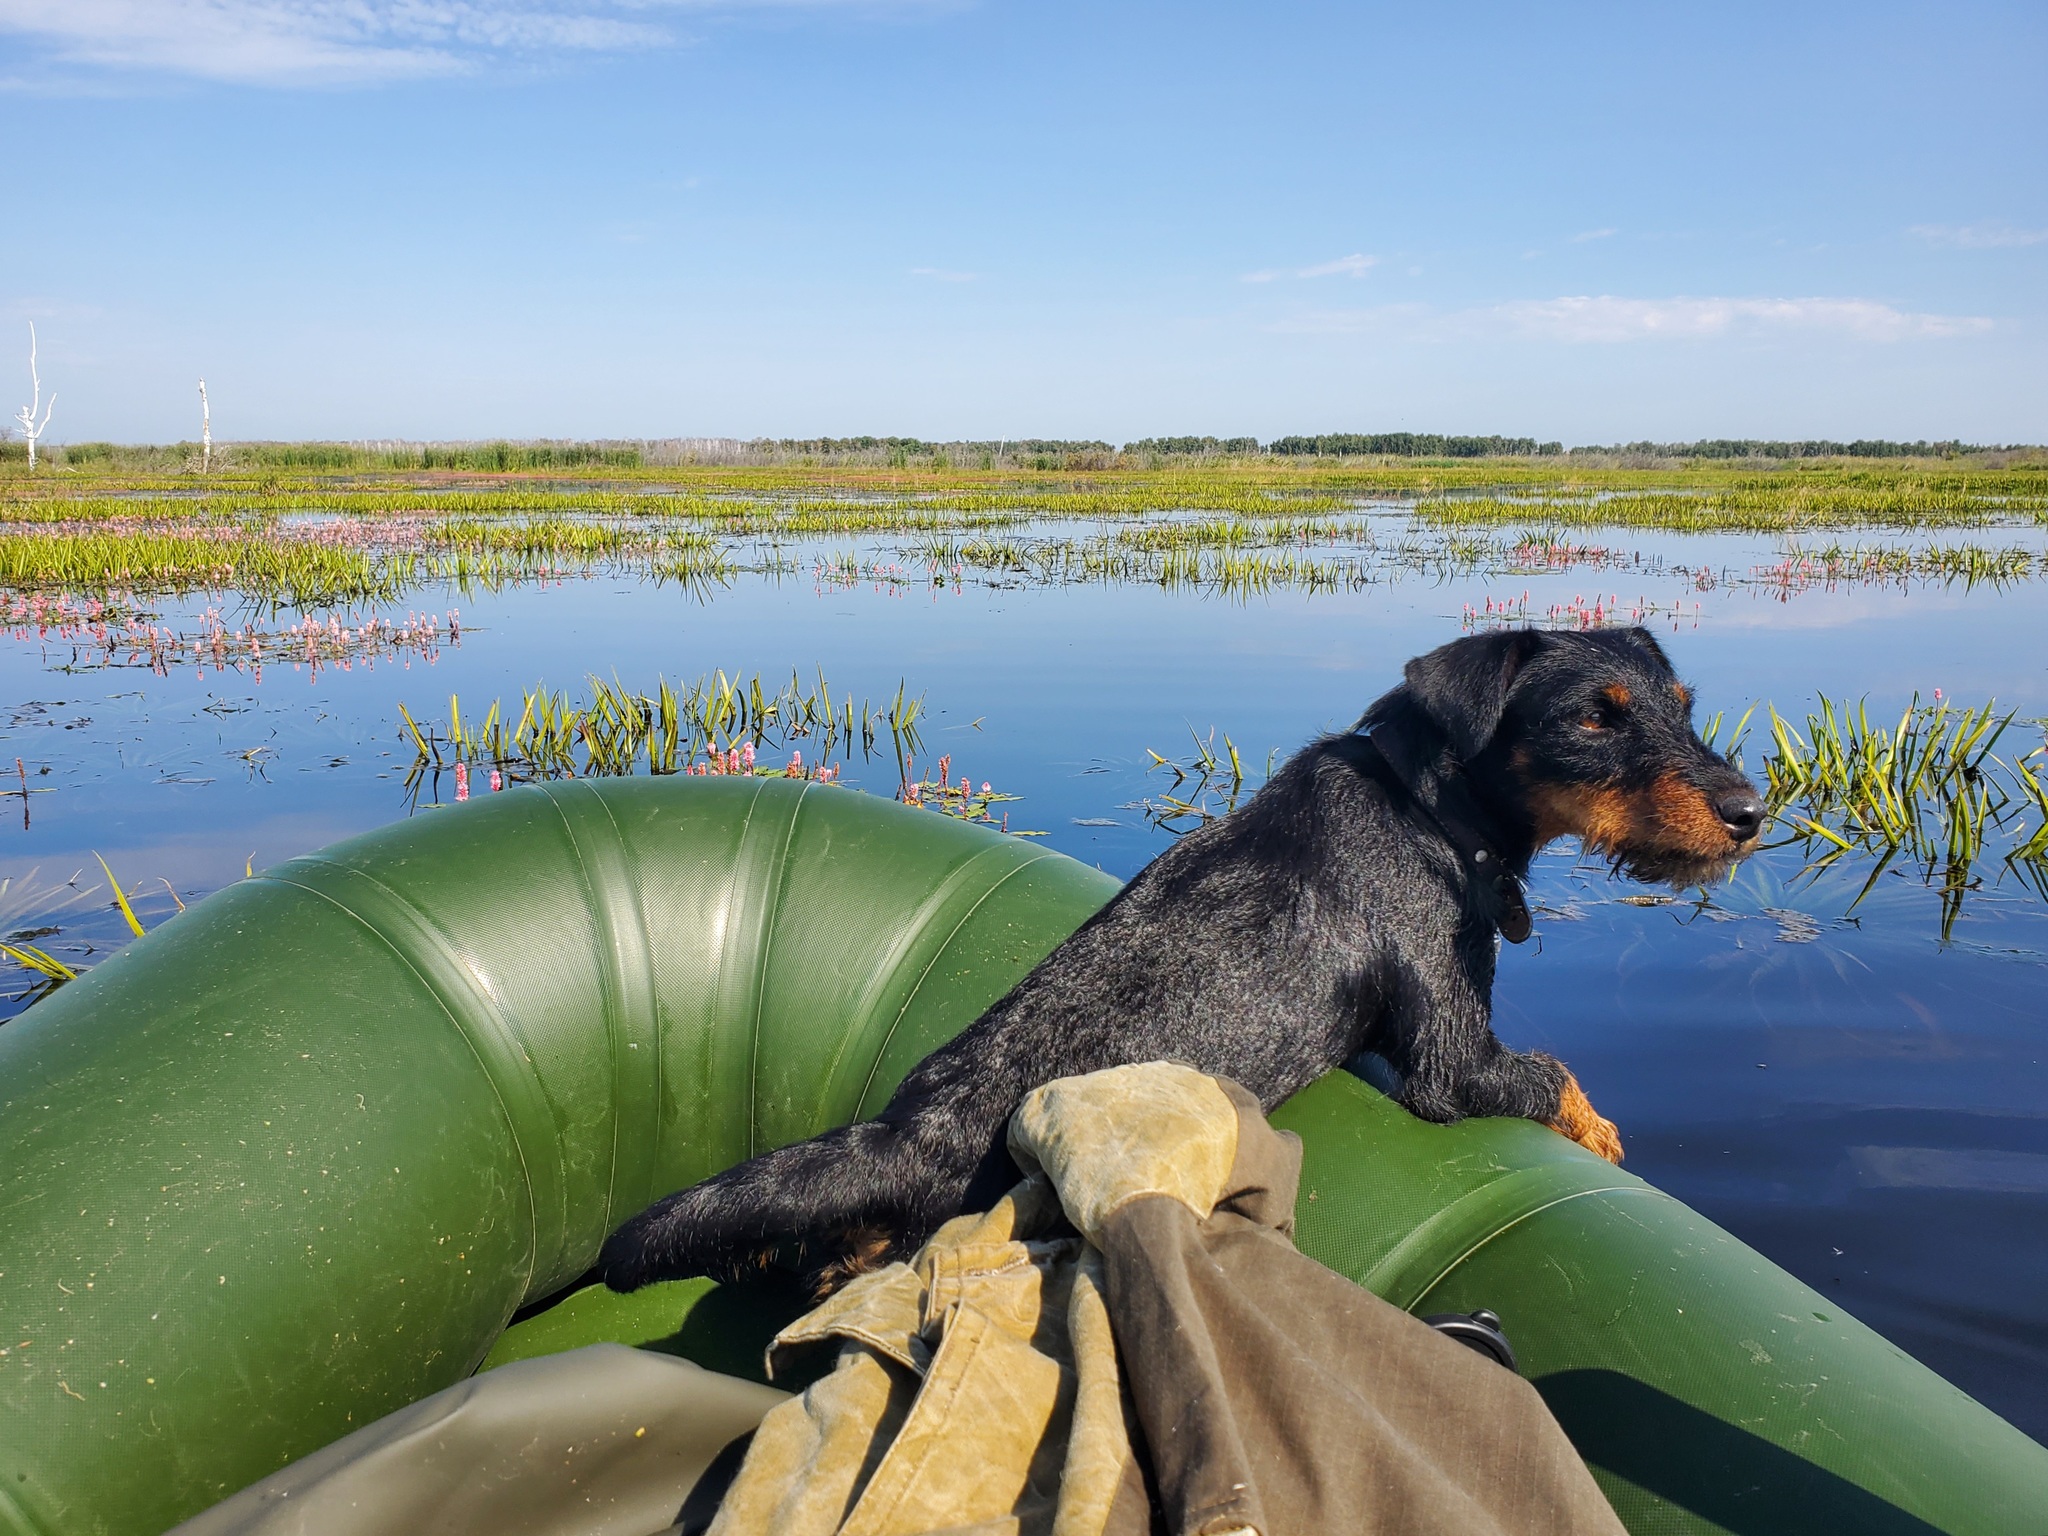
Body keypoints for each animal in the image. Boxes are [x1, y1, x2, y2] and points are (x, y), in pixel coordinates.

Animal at [598, 626, 1769, 1302]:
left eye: (1683, 708)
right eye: (1592, 720)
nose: (1750, 812)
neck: (1425, 806)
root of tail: (910, 1135)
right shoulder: (1454, 1058)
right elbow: (1550, 1077)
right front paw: (1602, 1135)